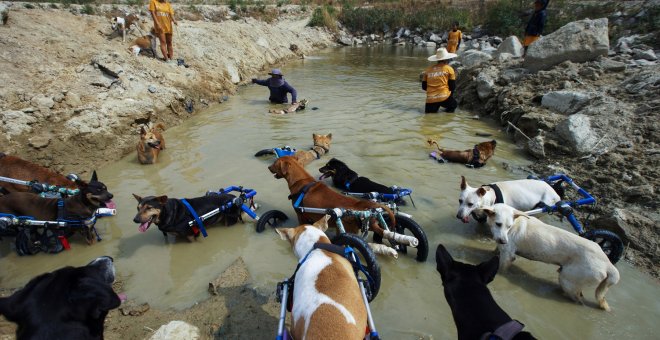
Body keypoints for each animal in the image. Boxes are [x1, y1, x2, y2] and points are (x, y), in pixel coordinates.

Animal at [268, 156, 418, 258]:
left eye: (275, 163)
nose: (268, 167)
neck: (301, 181)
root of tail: (360, 204)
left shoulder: (301, 215)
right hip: (370, 225)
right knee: (385, 233)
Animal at [480, 203, 620, 312]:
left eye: (508, 226)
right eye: (498, 224)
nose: (504, 241)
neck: (517, 222)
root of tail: (609, 265)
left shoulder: (508, 256)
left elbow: (501, 270)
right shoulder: (501, 249)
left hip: (568, 280)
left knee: (579, 301)